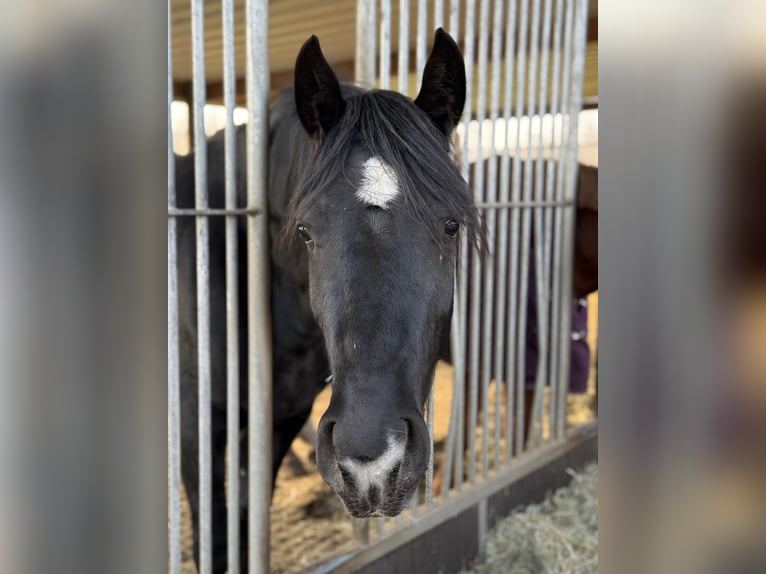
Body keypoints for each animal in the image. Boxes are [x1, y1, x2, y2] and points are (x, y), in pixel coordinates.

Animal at [176, 31, 476, 574]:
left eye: (451, 225)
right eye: (305, 231)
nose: (372, 461)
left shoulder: (281, 417)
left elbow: (249, 517)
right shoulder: (196, 423)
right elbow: (216, 531)